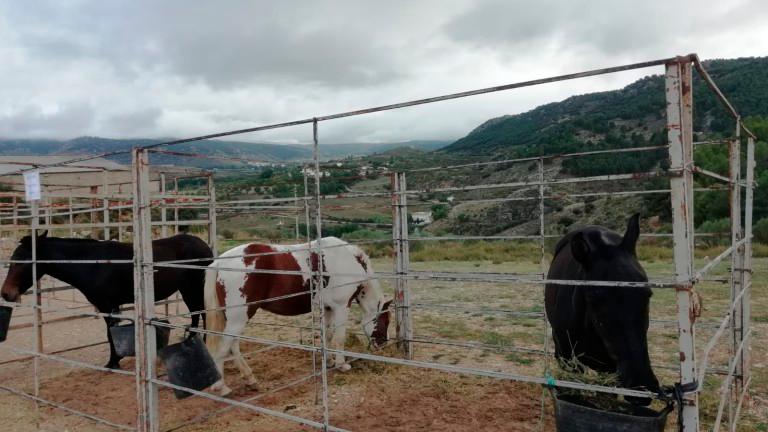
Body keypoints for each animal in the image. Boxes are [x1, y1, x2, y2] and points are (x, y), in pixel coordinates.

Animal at [0, 231, 213, 370]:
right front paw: (115, 359)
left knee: (202, 312)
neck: (90, 264)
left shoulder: (106, 305)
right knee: (196, 313)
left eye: (21, 262)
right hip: (187, 289)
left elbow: (110, 334)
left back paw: (204, 341)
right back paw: (191, 340)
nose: (6, 294)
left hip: (194, 286)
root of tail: (203, 244)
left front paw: (113, 362)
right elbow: (111, 333)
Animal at [204, 236, 390, 394]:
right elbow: (339, 339)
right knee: (223, 348)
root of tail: (219, 263)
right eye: (385, 320)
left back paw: (250, 379)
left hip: (236, 318)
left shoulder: (328, 308)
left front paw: (329, 361)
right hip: (238, 318)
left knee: (233, 346)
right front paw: (341, 365)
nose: (382, 344)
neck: (348, 259)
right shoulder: (341, 307)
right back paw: (221, 387)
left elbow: (328, 336)